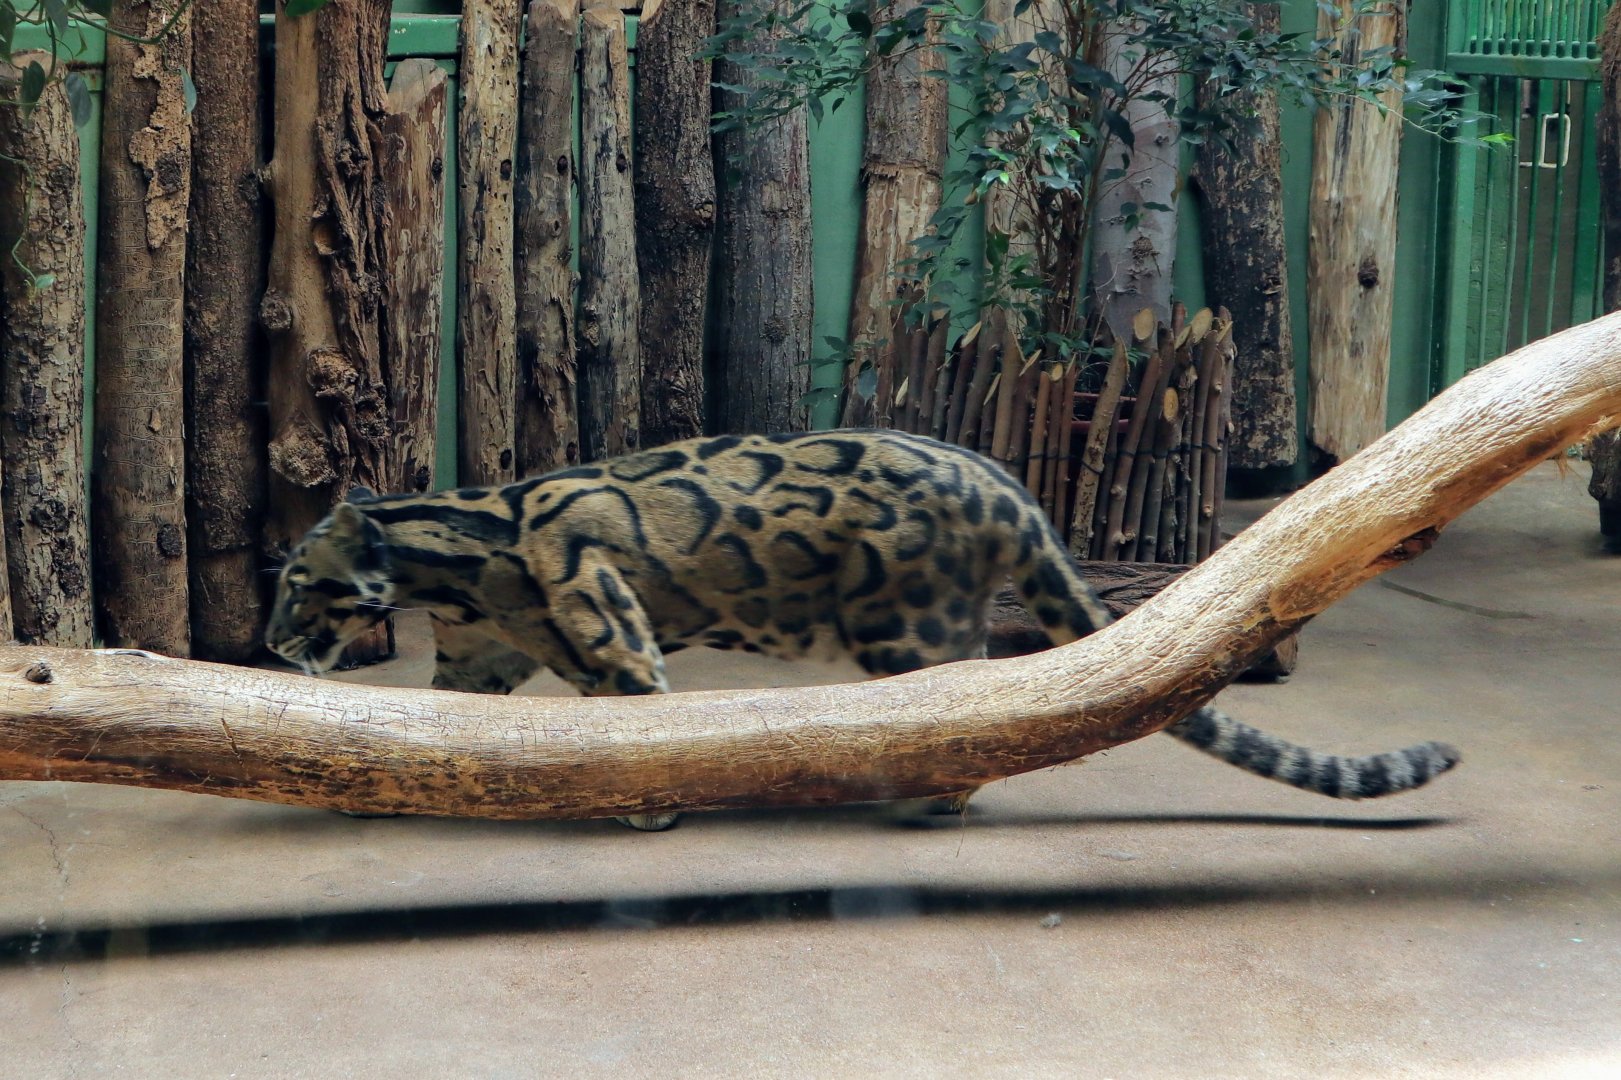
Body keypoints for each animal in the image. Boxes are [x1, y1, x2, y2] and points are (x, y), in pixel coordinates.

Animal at [265, 429, 1459, 830]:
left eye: (298, 583)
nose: (274, 644)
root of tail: (1002, 482)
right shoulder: (482, 658)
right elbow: (438, 734)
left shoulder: (606, 631)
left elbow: (634, 728)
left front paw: (642, 811)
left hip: (904, 628)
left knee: (975, 713)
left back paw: (929, 797)